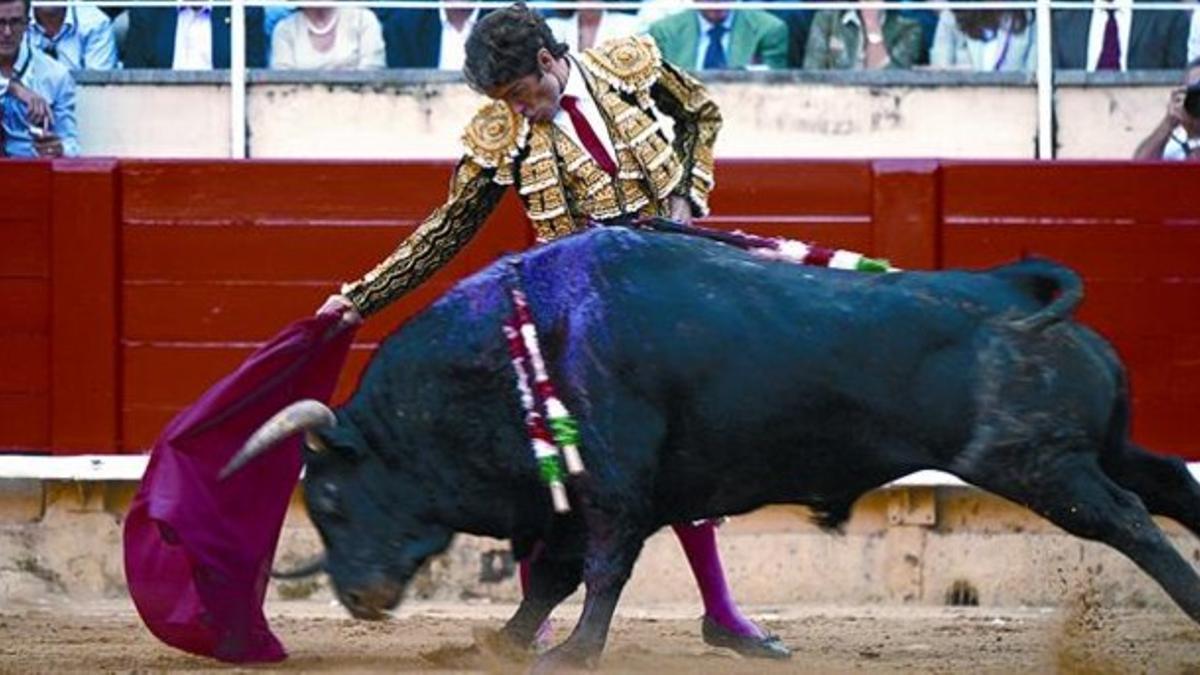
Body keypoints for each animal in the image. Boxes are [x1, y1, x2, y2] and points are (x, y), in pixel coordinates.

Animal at [225, 225, 1200, 667]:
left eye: (332, 496)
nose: (358, 598)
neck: (518, 344)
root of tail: (1010, 284)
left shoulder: (613, 485)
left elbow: (601, 569)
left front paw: (570, 653)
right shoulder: (573, 495)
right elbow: (549, 577)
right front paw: (502, 642)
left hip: (1041, 466)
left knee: (1130, 520)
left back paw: (1191, 605)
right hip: (1101, 447)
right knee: (1172, 485)